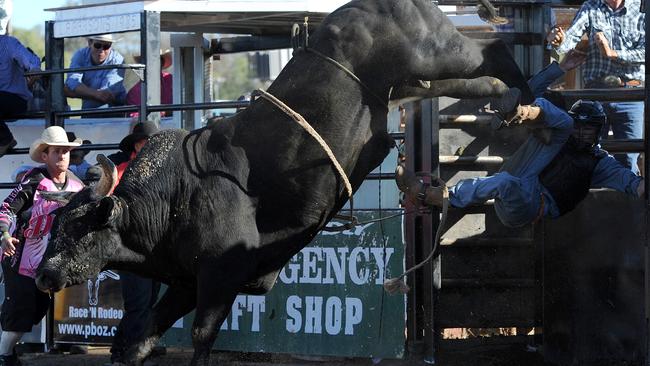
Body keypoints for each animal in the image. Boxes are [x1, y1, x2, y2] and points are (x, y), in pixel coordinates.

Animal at [35, 1, 532, 364]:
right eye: (54, 227)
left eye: (78, 231)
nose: (44, 274)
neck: (175, 197)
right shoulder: (186, 281)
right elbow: (142, 338)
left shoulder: (221, 275)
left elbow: (201, 334)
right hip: (418, 80)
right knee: (479, 80)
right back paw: (512, 100)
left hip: (436, 50)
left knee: (493, 53)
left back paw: (526, 95)